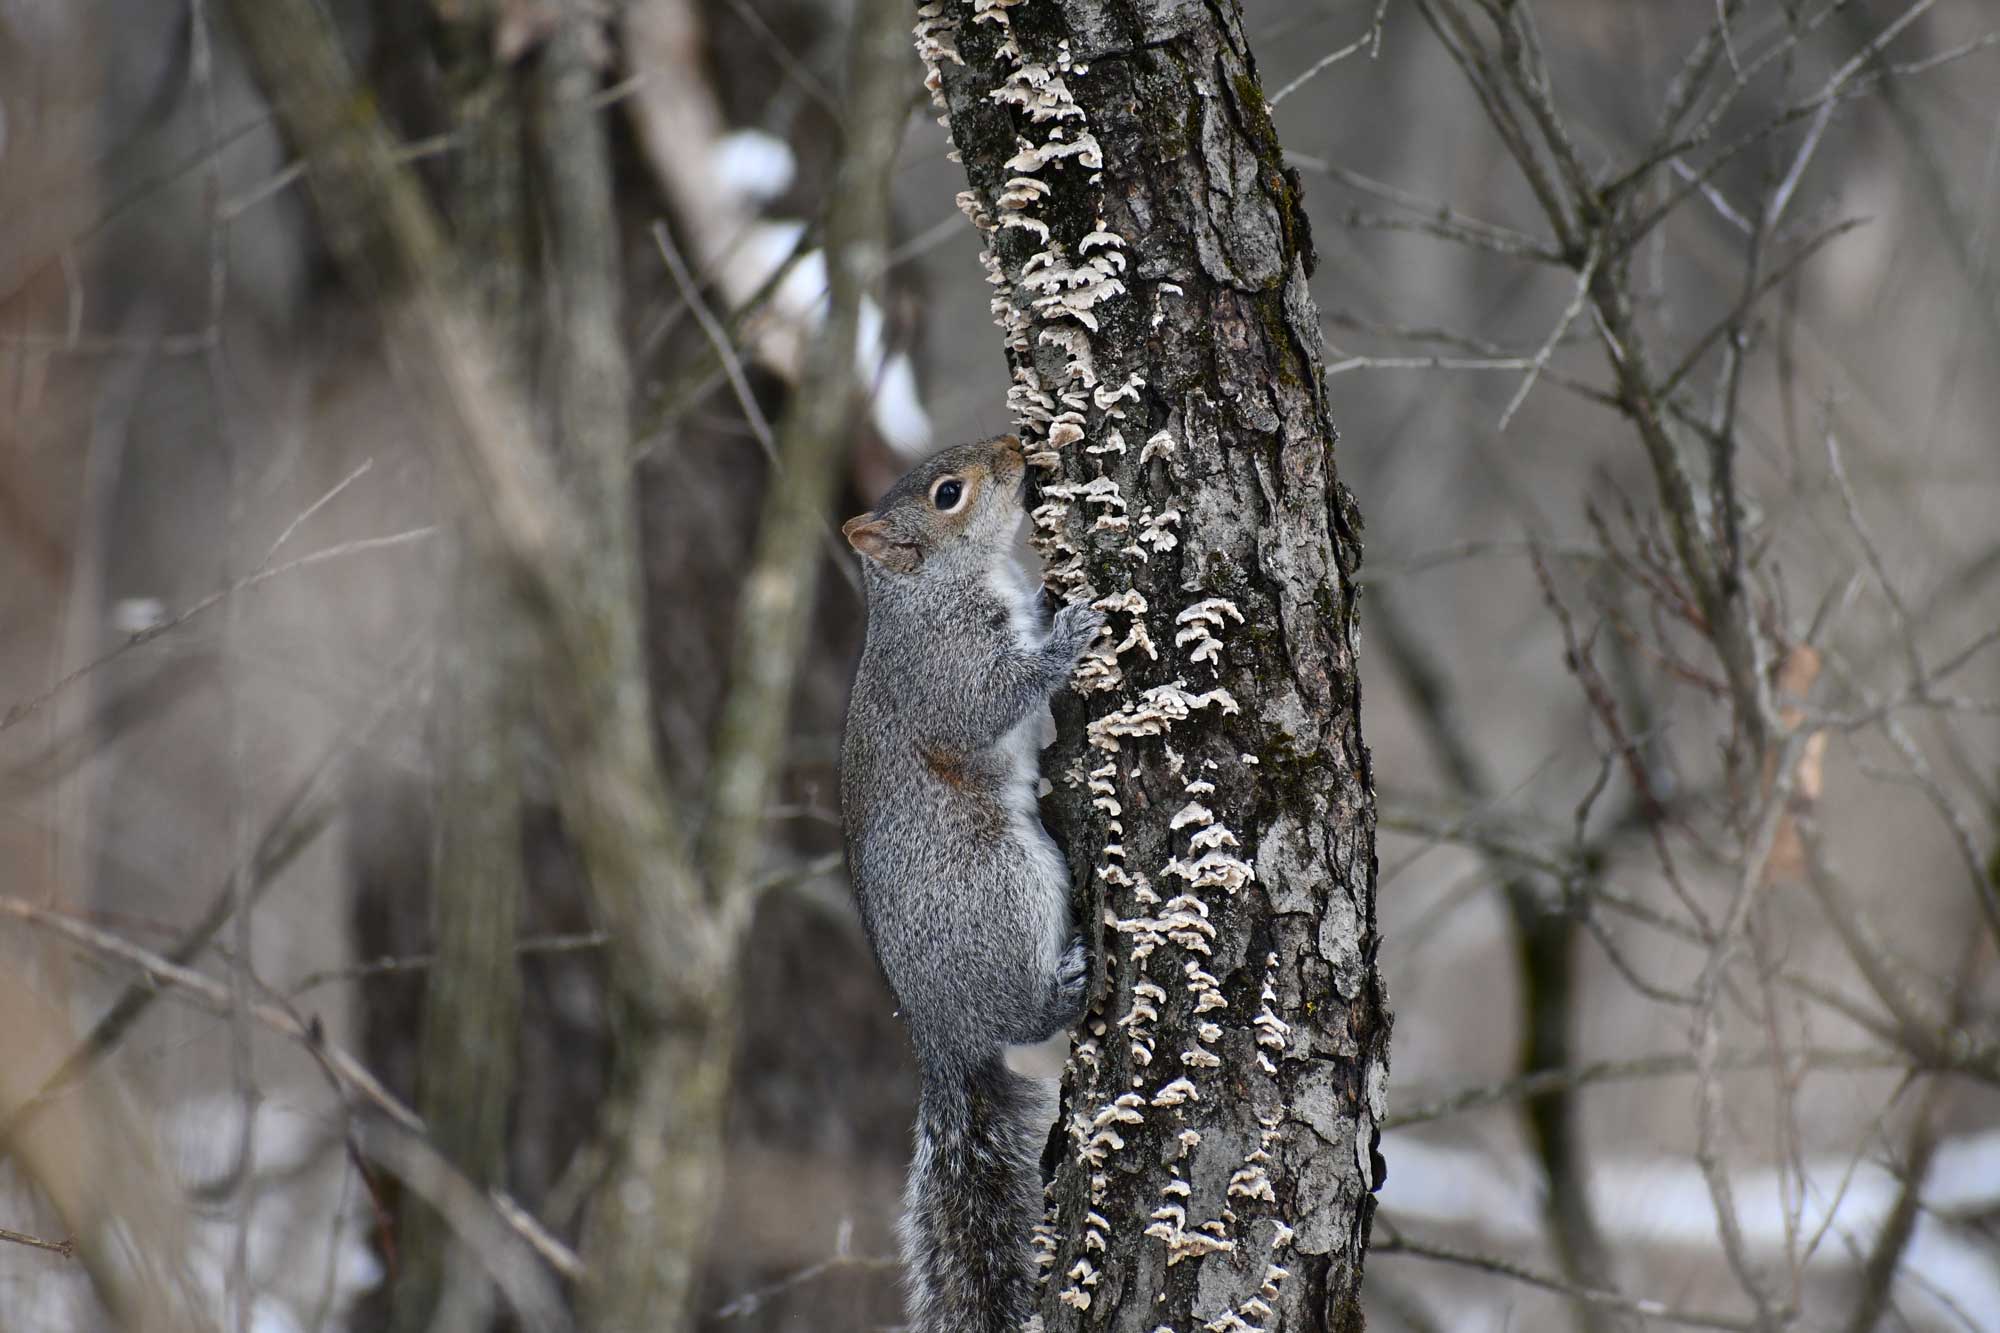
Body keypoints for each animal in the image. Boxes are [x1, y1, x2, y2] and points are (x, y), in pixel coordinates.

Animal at [839, 433, 1105, 1333]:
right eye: (949, 494)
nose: (1018, 445)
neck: (930, 588)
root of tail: (941, 1034)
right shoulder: (944, 667)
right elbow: (987, 702)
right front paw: (1070, 632)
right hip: (999, 882)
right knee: (1025, 1016)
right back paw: (1066, 985)